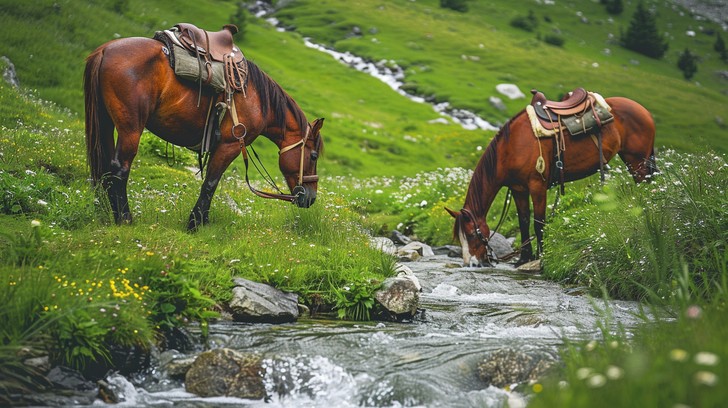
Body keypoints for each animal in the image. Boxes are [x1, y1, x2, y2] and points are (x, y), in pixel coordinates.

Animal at [84, 35, 324, 231]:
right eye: (313, 156)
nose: (311, 197)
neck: (256, 98)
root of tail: (104, 50)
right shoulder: (230, 145)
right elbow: (210, 183)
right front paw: (195, 223)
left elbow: (210, 183)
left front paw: (202, 220)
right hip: (131, 128)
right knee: (119, 168)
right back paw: (125, 218)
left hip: (106, 122)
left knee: (103, 166)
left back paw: (104, 212)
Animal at [446, 95, 656, 267]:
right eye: (460, 239)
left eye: (471, 234)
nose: (471, 264)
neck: (510, 148)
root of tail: (644, 111)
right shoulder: (518, 189)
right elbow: (524, 221)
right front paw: (524, 258)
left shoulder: (537, 186)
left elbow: (538, 222)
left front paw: (541, 257)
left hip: (637, 162)